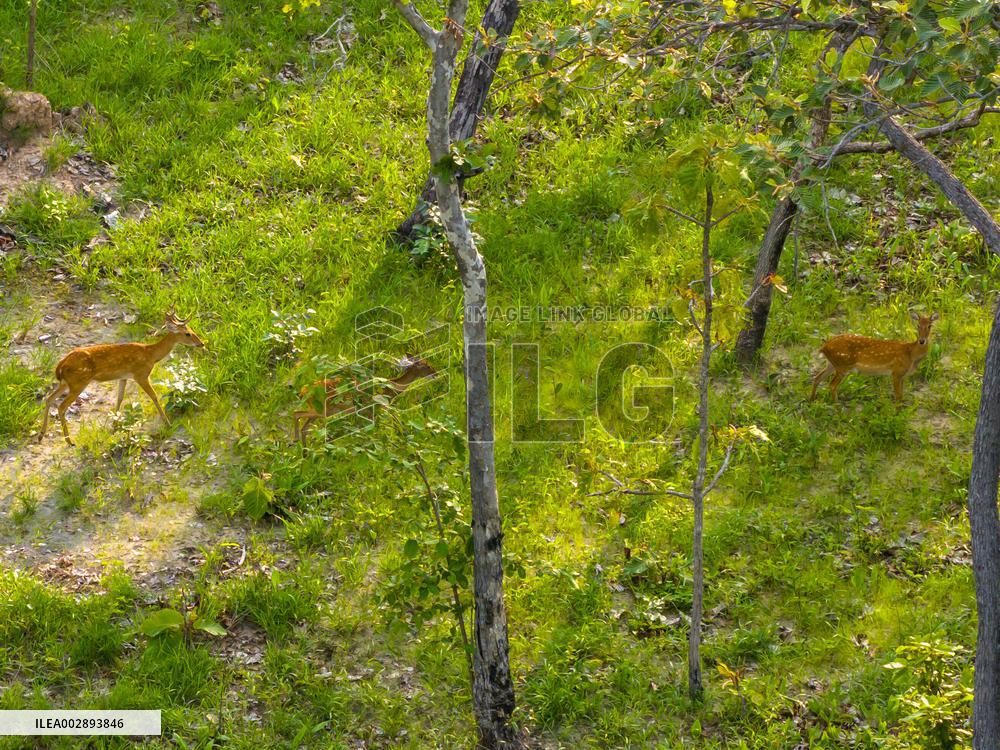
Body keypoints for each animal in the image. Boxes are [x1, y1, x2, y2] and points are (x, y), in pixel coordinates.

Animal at [37, 309, 205, 445]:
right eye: (187, 333)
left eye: (192, 329)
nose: (202, 344)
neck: (151, 355)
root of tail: (60, 366)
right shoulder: (140, 374)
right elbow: (154, 396)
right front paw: (167, 423)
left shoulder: (123, 377)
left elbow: (119, 398)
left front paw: (115, 425)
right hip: (78, 382)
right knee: (61, 406)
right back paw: (69, 441)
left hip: (67, 383)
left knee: (49, 399)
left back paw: (41, 435)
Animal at [293, 356, 437, 444]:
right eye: (428, 366)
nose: (436, 373)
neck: (390, 389)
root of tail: (303, 390)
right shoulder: (373, 408)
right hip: (324, 409)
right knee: (296, 413)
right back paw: (294, 441)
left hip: (321, 410)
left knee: (304, 427)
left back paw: (304, 454)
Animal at [810, 311, 939, 404]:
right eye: (918, 325)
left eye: (930, 326)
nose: (922, 341)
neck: (911, 354)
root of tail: (824, 347)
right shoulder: (896, 372)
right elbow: (898, 397)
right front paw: (896, 416)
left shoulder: (903, 375)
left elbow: (901, 396)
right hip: (843, 365)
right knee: (832, 385)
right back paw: (838, 409)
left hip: (832, 364)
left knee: (817, 377)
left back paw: (811, 400)